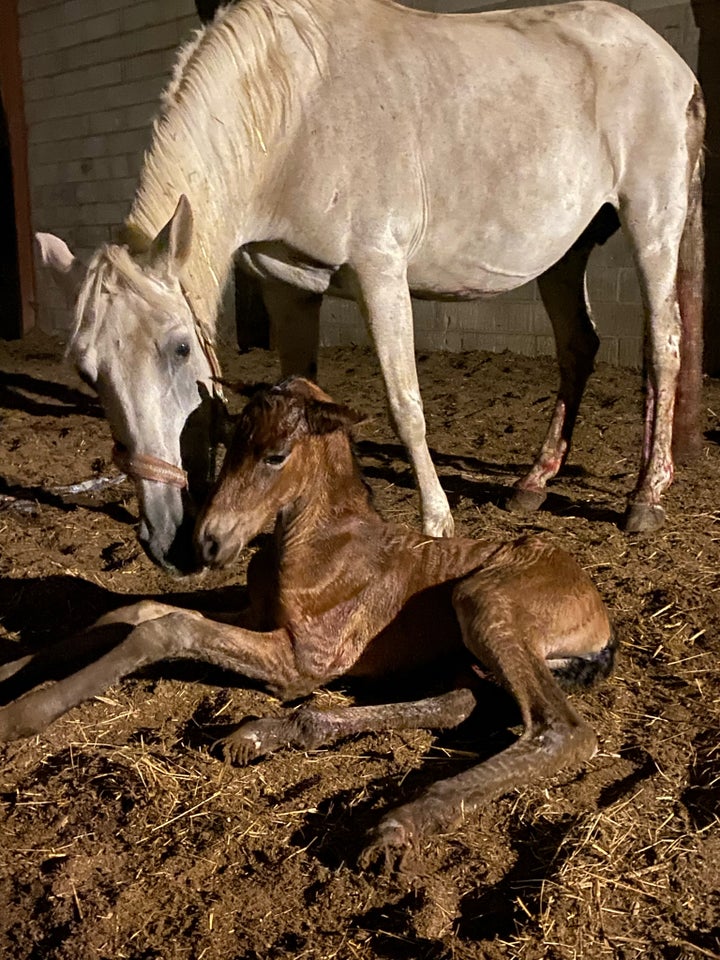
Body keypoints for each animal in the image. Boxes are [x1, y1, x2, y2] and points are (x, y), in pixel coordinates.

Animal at [0, 376, 612, 864]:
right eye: (229, 445)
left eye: (276, 455)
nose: (206, 544)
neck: (316, 542)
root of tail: (599, 613)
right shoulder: (256, 614)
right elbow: (131, 610)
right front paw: (13, 670)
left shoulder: (302, 660)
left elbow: (167, 629)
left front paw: (24, 713)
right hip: (463, 652)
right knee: (458, 702)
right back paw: (271, 733)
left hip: (482, 600)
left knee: (561, 730)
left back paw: (403, 820)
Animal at [35, 0, 704, 572]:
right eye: (87, 373)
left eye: (180, 348)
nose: (167, 540)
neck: (292, 113)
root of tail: (670, 60)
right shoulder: (287, 289)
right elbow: (299, 396)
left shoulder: (380, 272)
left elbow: (406, 405)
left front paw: (437, 521)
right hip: (567, 252)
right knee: (578, 347)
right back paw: (535, 482)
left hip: (653, 222)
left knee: (663, 346)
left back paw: (647, 496)